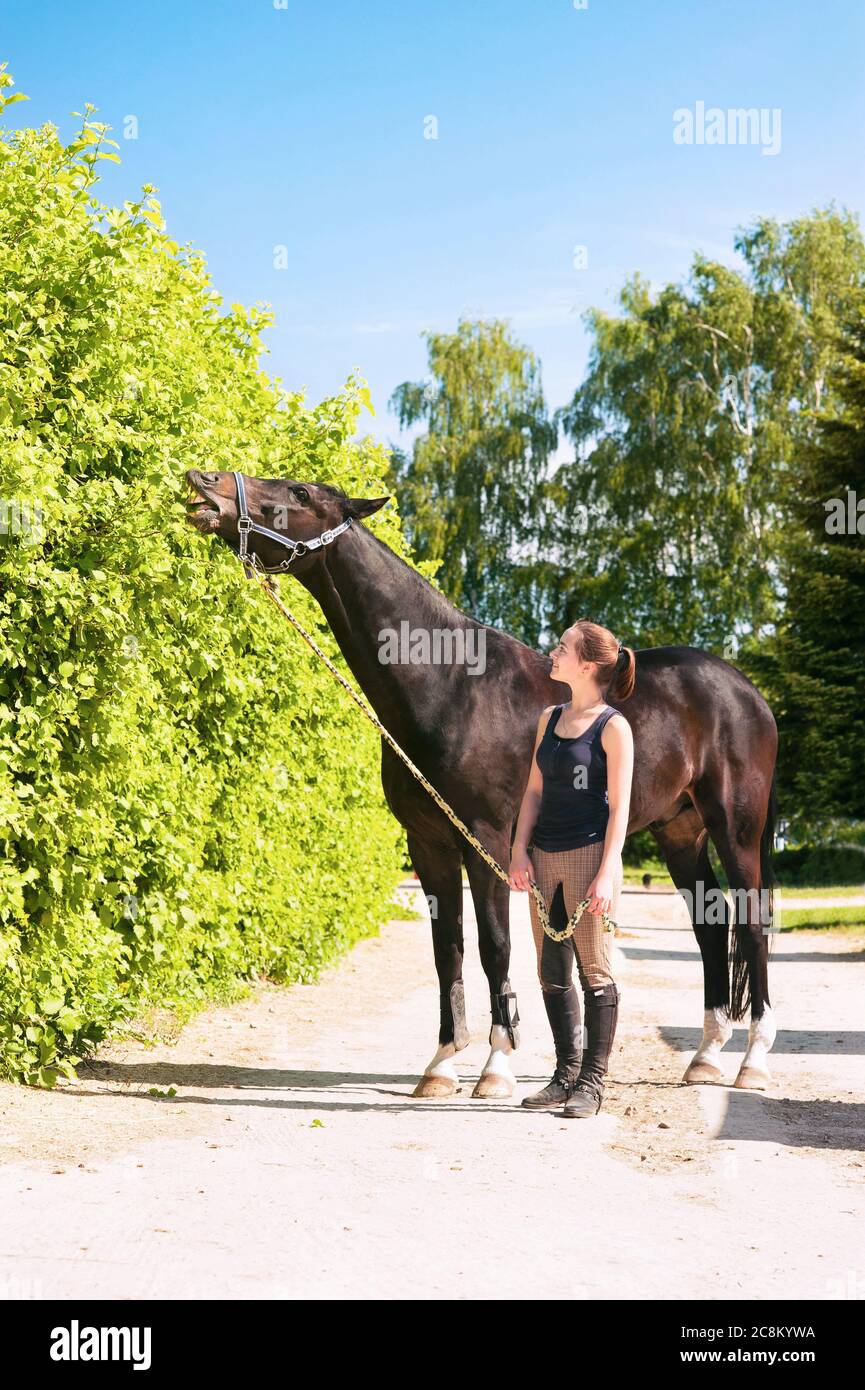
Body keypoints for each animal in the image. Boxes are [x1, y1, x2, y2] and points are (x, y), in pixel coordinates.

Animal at [185, 468, 779, 1099]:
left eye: (299, 493)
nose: (206, 482)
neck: (449, 685)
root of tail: (748, 692)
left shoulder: (488, 841)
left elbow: (496, 947)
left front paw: (496, 1066)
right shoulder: (429, 844)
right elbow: (448, 950)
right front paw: (441, 1065)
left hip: (735, 830)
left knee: (753, 925)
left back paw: (752, 1062)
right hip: (680, 832)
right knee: (710, 927)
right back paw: (706, 1059)